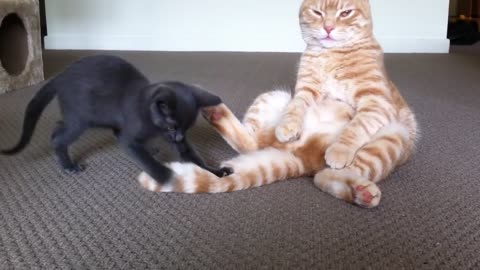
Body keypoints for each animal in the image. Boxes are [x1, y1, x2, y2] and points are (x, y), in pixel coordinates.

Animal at [137, 0, 418, 208]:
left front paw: (340, 149)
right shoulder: (304, 90)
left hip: (393, 137)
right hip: (272, 97)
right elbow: (296, 109)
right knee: (254, 144)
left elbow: (355, 127)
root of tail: (301, 159)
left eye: (345, 13)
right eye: (317, 12)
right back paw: (213, 110)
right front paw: (288, 126)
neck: (330, 55)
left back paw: (361, 191)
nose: (328, 28)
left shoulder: (376, 100)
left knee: (324, 175)